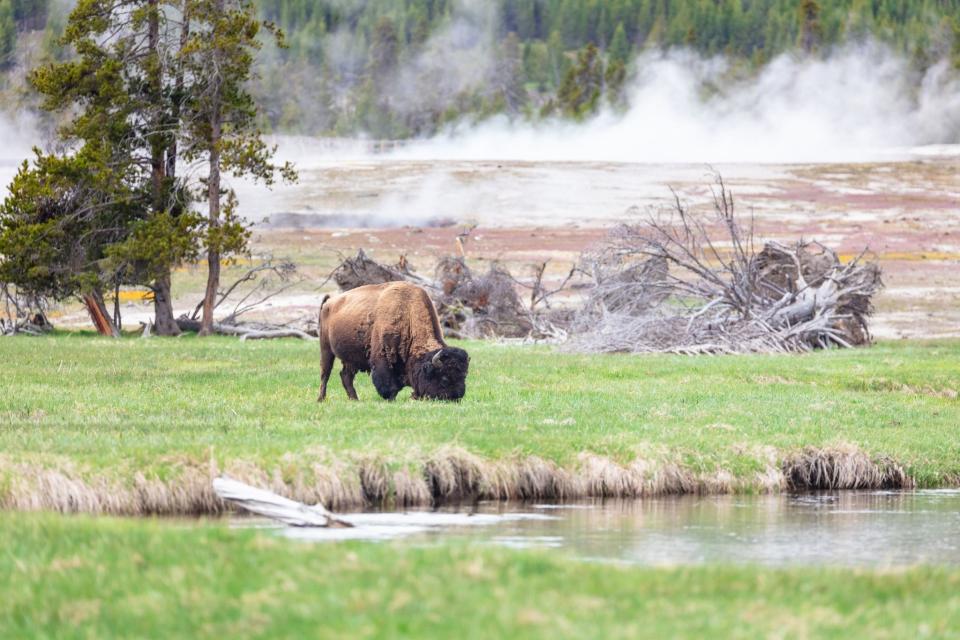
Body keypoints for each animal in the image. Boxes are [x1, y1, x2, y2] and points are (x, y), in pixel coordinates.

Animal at [318, 284, 468, 402]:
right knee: (325, 374)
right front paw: (391, 399)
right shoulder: (382, 358)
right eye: (444, 379)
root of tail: (328, 302)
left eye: (464, 376)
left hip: (351, 359)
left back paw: (354, 399)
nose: (455, 398)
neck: (408, 312)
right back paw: (321, 399)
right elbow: (388, 385)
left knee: (345, 376)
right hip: (326, 349)